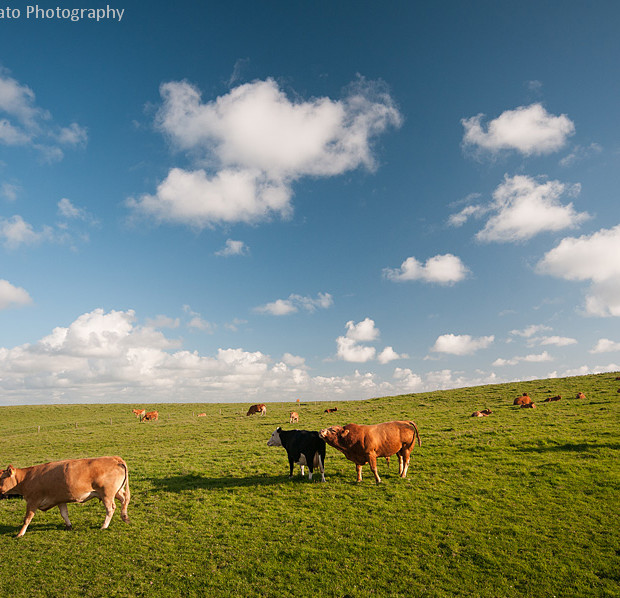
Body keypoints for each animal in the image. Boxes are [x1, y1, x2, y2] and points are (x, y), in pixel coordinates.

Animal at [0, 458, 130, 540]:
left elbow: (27, 519)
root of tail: (115, 459)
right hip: (116, 491)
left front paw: (20, 534)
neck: (26, 478)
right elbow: (64, 514)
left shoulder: (33, 501)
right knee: (125, 499)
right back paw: (125, 517)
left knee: (111, 508)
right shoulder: (60, 500)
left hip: (107, 494)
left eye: (0, 478)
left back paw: (104, 526)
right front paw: (69, 526)